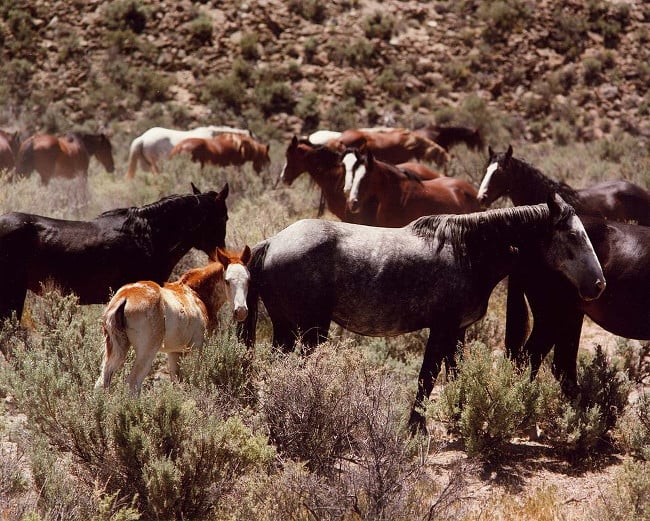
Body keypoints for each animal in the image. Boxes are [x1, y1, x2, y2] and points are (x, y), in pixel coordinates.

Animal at [96, 246, 251, 392]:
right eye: (227, 281)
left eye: (248, 280)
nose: (241, 311)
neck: (196, 293)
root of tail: (125, 297)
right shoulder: (197, 347)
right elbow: (195, 379)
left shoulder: (174, 353)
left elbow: (177, 382)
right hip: (147, 351)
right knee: (133, 383)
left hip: (115, 349)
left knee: (102, 382)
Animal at [240, 195, 604, 430]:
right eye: (574, 235)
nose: (598, 285)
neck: (468, 251)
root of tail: (272, 243)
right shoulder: (441, 329)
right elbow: (427, 377)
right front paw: (416, 426)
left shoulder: (458, 331)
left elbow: (454, 373)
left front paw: (459, 415)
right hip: (309, 331)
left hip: (288, 330)